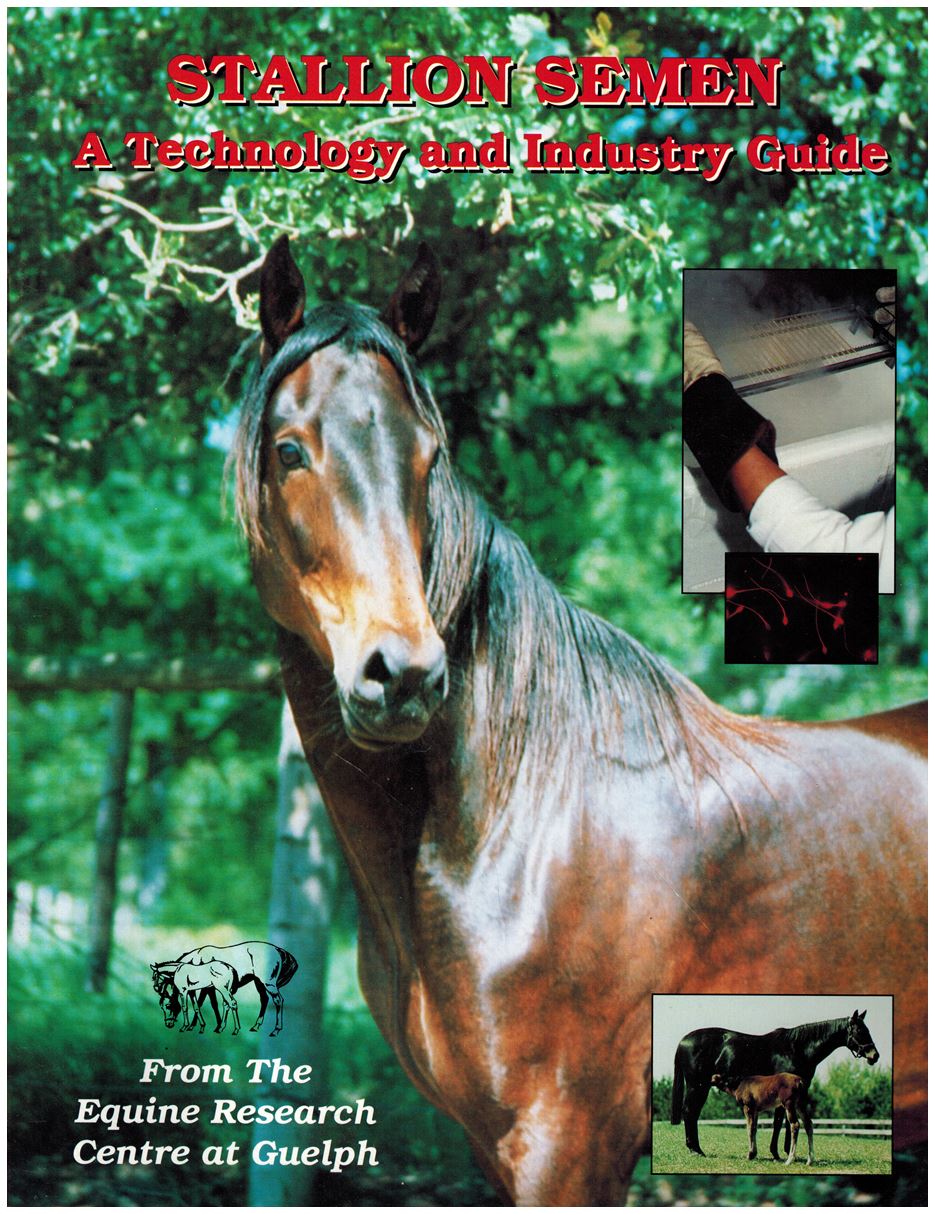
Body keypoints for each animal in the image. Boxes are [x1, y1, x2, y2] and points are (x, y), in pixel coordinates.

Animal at [154, 941, 297, 1036]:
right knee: (264, 999)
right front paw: (217, 1026)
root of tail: (278, 949)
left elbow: (205, 1003)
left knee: (278, 1001)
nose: (168, 1024)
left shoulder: (206, 988)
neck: (195, 960)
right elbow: (215, 1004)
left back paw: (275, 1030)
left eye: (168, 1006)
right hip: (259, 983)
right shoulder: (209, 988)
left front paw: (195, 1025)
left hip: (268, 984)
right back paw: (256, 1026)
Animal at [672, 1009, 878, 1160]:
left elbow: (785, 1122)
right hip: (697, 1086)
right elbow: (780, 1121)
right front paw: (779, 1153)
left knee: (692, 1113)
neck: (796, 1048)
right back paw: (696, 1150)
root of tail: (683, 1041)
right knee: (690, 1112)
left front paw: (784, 1152)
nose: (874, 1055)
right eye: (860, 1031)